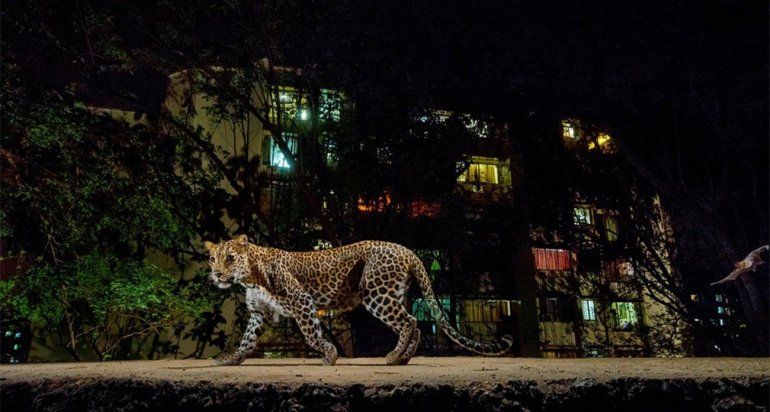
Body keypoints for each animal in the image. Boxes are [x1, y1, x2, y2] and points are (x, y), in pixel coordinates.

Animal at [205, 234, 513, 366]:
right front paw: (231, 359)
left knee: (409, 321)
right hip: (392, 294)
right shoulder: (258, 313)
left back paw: (394, 356)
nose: (217, 274)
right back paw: (403, 358)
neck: (250, 277)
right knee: (415, 323)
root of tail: (408, 251)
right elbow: (247, 340)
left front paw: (329, 355)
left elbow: (311, 335)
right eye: (212, 259)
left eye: (230, 257)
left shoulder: (302, 301)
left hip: (376, 294)